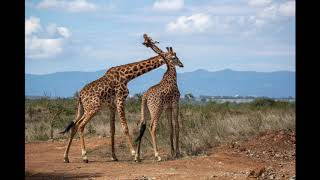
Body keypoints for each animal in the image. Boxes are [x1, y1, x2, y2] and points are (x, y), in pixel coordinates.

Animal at [58, 34, 174, 163]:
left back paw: (66, 157)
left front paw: (114, 156)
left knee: (75, 125)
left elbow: (112, 129)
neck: (127, 76)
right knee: (81, 125)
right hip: (93, 108)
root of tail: (80, 95)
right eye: (174, 57)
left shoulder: (111, 105)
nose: (180, 64)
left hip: (84, 109)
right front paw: (134, 154)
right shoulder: (120, 99)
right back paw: (84, 156)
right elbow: (125, 127)